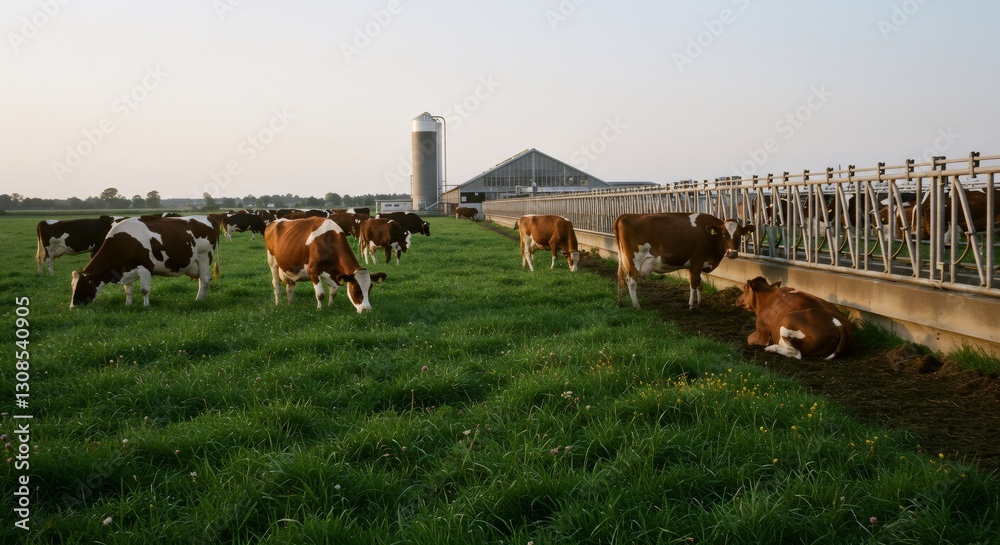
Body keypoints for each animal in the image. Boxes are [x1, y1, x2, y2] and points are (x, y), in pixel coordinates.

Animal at [70, 216, 220, 308]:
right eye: (72, 286)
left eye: (81, 285)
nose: (72, 306)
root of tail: (209, 218)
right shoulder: (126, 269)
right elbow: (128, 290)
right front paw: (128, 304)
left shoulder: (145, 267)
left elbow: (144, 289)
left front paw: (146, 306)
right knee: (204, 279)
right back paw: (204, 298)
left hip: (203, 256)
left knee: (204, 279)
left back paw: (199, 299)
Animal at [614, 213, 753, 310]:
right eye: (724, 235)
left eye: (738, 235)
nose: (732, 253)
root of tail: (627, 215)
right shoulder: (697, 261)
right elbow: (693, 283)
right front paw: (691, 305)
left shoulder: (694, 265)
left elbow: (699, 283)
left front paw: (700, 302)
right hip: (635, 260)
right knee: (631, 281)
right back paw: (637, 305)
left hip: (623, 259)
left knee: (620, 276)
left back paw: (620, 303)